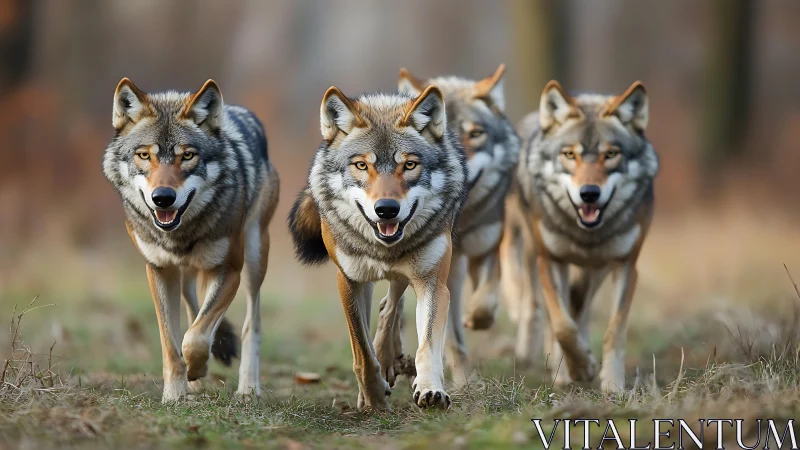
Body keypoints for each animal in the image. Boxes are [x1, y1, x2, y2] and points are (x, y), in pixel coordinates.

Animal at [103, 78, 279, 402]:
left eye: (187, 155)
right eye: (144, 155)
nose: (162, 198)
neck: (180, 234)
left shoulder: (228, 271)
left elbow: (194, 338)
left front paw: (198, 367)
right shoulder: (159, 271)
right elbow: (172, 344)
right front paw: (175, 395)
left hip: (254, 258)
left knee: (252, 323)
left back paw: (248, 388)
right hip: (186, 274)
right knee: (193, 307)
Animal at [288, 85, 467, 410]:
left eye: (409, 165)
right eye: (362, 165)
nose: (386, 210)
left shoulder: (433, 283)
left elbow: (427, 346)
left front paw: (430, 389)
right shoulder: (349, 281)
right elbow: (361, 351)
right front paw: (372, 397)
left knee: (390, 306)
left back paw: (390, 358)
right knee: (386, 309)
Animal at [500, 80, 658, 392]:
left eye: (611, 154)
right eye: (570, 154)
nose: (589, 193)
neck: (584, 234)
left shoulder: (625, 265)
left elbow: (613, 331)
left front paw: (612, 385)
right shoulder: (550, 261)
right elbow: (562, 327)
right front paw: (578, 369)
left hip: (595, 269)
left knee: (578, 304)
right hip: (528, 248)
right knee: (535, 304)